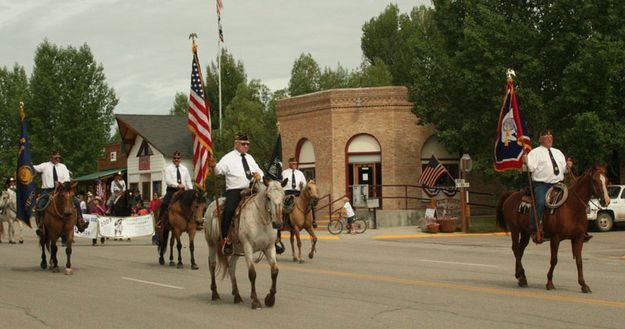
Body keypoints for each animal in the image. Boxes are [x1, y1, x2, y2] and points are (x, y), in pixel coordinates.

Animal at [204, 177, 286, 308]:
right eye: (268, 197)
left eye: (283, 197)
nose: (277, 223)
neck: (260, 219)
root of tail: (211, 204)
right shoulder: (248, 247)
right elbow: (252, 273)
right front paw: (255, 301)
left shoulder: (269, 247)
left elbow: (274, 271)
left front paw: (270, 299)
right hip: (211, 244)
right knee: (212, 265)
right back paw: (215, 294)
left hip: (236, 250)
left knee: (231, 267)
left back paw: (237, 296)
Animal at [494, 164, 608, 292]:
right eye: (595, 180)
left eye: (607, 181)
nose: (606, 200)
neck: (572, 207)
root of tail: (512, 194)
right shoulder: (555, 238)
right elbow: (554, 260)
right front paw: (549, 283)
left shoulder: (578, 238)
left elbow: (579, 261)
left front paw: (584, 285)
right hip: (515, 229)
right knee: (515, 249)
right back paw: (521, 277)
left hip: (525, 232)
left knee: (520, 249)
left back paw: (521, 277)